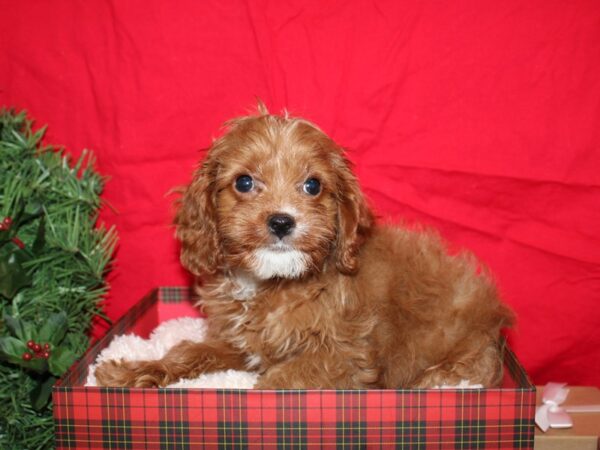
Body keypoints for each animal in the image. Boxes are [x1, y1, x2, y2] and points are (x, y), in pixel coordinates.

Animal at [96, 106, 512, 390]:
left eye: (312, 185)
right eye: (244, 182)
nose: (282, 221)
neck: (272, 281)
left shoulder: (343, 358)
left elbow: (277, 382)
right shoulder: (243, 345)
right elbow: (192, 351)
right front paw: (135, 371)